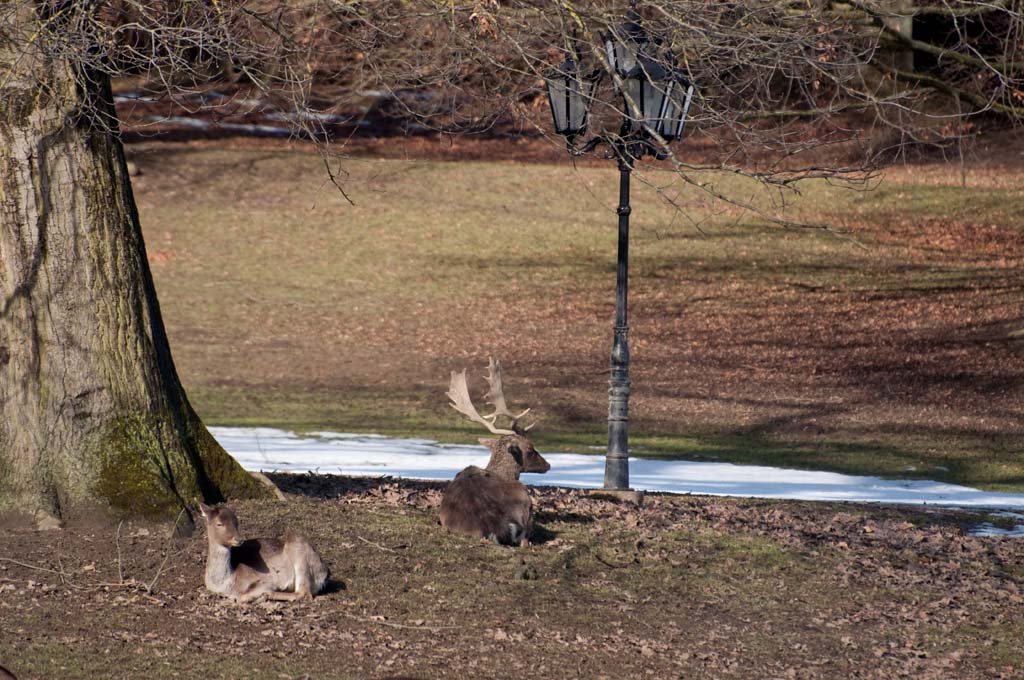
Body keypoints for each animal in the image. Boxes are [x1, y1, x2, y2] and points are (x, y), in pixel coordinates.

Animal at [196, 499, 327, 602]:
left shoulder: (265, 581)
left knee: (304, 593)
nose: (239, 539)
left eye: (236, 522)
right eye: (219, 524)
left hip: (300, 553)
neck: (226, 583)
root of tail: (325, 573)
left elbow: (242, 596)